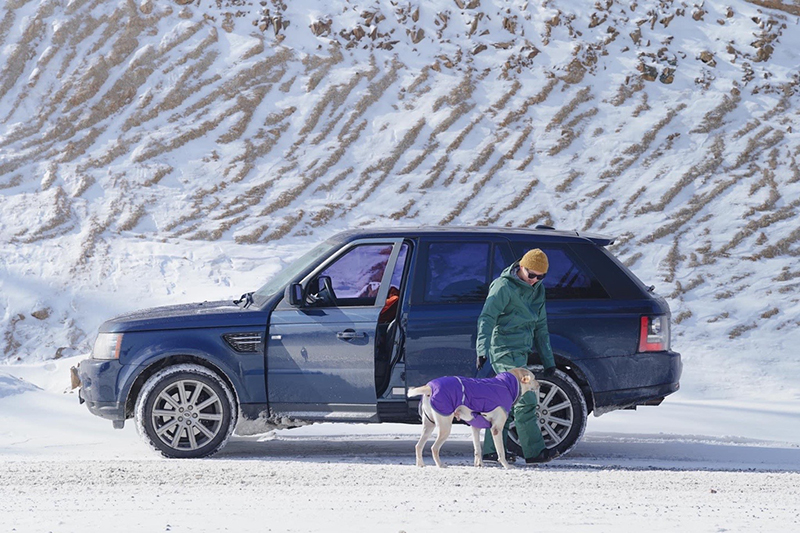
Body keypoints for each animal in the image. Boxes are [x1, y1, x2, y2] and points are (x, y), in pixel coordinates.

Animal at [406, 368, 536, 468]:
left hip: (429, 426)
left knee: (418, 446)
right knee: (434, 448)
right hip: (445, 428)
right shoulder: (496, 429)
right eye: (534, 378)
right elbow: (501, 452)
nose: (539, 383)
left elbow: (477, 450)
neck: (507, 385)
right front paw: (507, 466)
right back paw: (440, 465)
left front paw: (479, 465)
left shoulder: (475, 428)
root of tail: (430, 387)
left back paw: (420, 465)